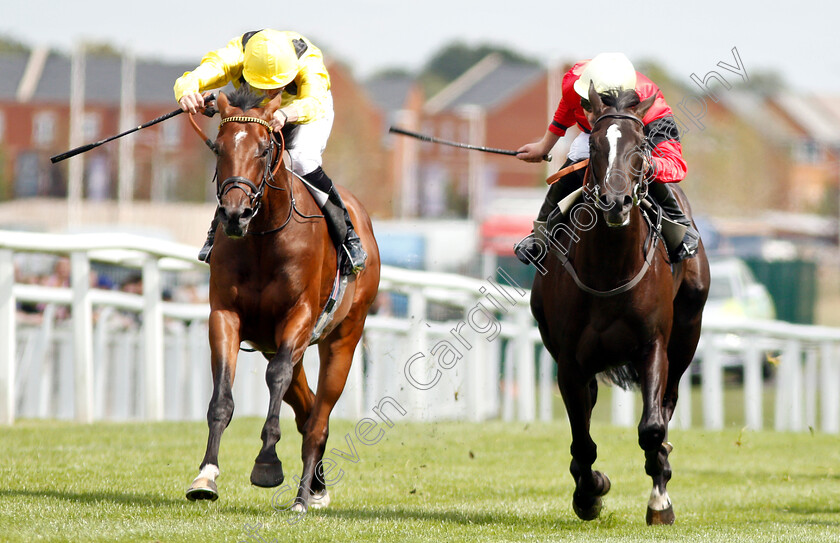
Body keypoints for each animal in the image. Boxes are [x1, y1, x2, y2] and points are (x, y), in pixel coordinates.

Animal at [186, 86, 380, 516]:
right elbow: (221, 398)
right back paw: (317, 487)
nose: (235, 214)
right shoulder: (225, 315)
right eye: (218, 148)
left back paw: (303, 497)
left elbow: (276, 377)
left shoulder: (300, 315)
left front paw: (267, 464)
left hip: (342, 338)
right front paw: (206, 476)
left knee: (318, 418)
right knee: (306, 410)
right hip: (284, 346)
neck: (262, 237)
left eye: (262, 149)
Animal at [532, 85, 708, 528]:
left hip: (687, 335)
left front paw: (659, 501)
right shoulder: (569, 361)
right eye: (595, 145)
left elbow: (652, 428)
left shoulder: (653, 345)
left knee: (667, 403)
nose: (616, 202)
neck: (609, 270)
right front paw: (590, 491)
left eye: (640, 146)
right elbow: (582, 438)